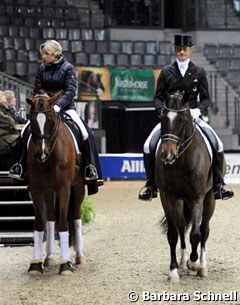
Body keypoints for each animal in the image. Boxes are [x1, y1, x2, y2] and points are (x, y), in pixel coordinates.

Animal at [26, 91, 85, 274]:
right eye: (31, 119)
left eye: (51, 120)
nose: (41, 153)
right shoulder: (36, 189)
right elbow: (40, 223)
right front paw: (35, 263)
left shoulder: (64, 188)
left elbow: (64, 222)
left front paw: (65, 264)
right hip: (49, 191)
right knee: (51, 219)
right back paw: (49, 257)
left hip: (78, 187)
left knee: (76, 217)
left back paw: (79, 257)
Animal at [156, 90, 216, 282]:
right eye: (162, 118)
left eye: (182, 119)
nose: (167, 154)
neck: (181, 160)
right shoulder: (167, 197)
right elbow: (173, 234)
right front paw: (174, 270)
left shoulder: (197, 197)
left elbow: (196, 234)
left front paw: (194, 263)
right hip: (180, 202)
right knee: (182, 228)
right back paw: (182, 262)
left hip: (209, 199)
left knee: (204, 229)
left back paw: (202, 266)